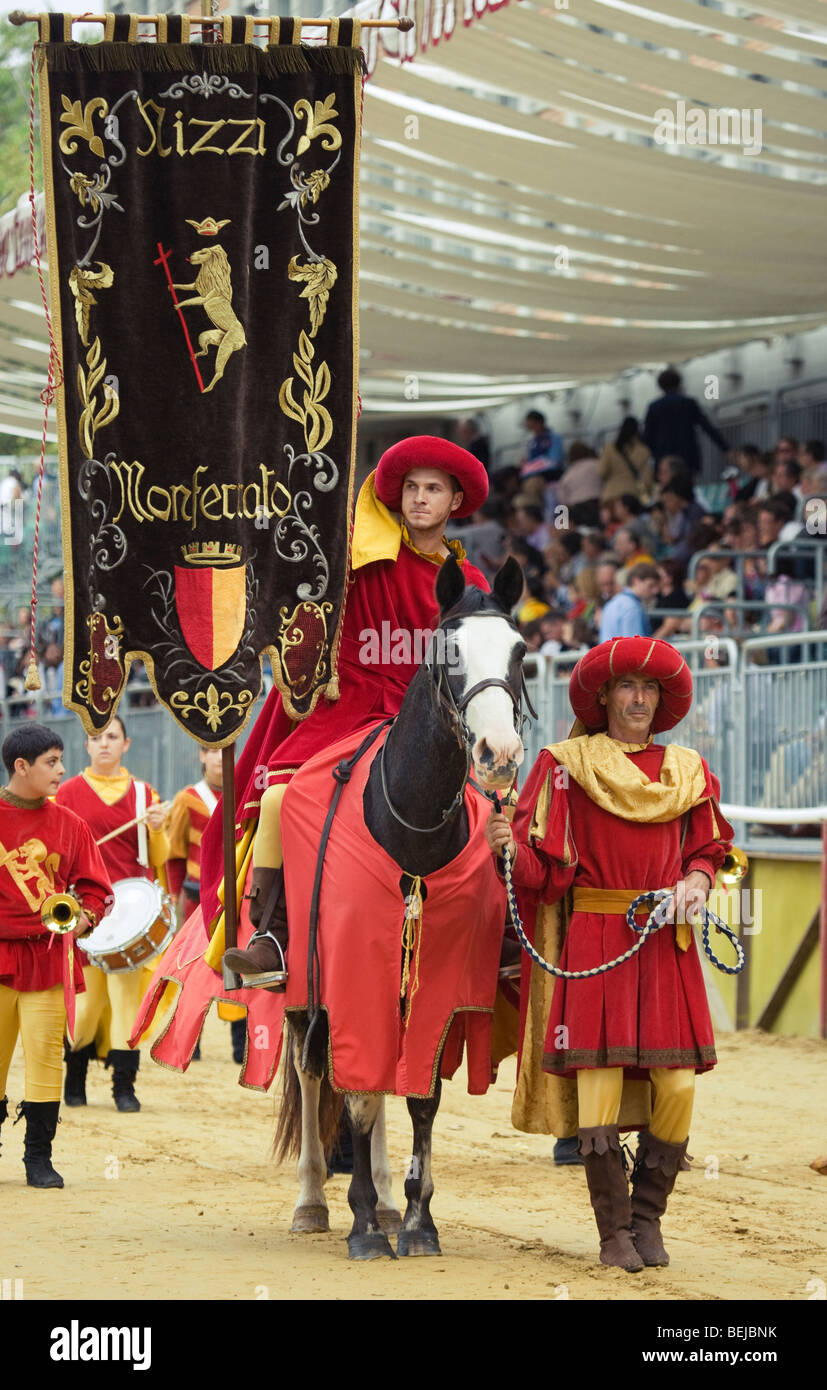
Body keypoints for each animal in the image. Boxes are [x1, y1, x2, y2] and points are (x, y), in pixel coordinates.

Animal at [173, 244, 247, 394]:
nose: (191, 255)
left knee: (219, 372)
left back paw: (206, 389)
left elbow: (192, 300)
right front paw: (171, 286)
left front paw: (177, 305)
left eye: (204, 252)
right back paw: (195, 356)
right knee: (206, 351)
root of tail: (243, 340)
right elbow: (185, 286)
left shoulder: (207, 296)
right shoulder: (195, 285)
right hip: (208, 336)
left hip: (226, 345)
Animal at [275, 556, 528, 1262]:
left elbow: (422, 1096)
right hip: (304, 988)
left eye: (521, 652)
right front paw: (362, 1226)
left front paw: (415, 1221)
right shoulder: (348, 977)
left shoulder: (436, 981)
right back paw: (313, 1201)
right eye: (449, 652)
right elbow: (356, 1097)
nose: (500, 756)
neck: (409, 823)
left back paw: (389, 1202)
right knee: (313, 1072)